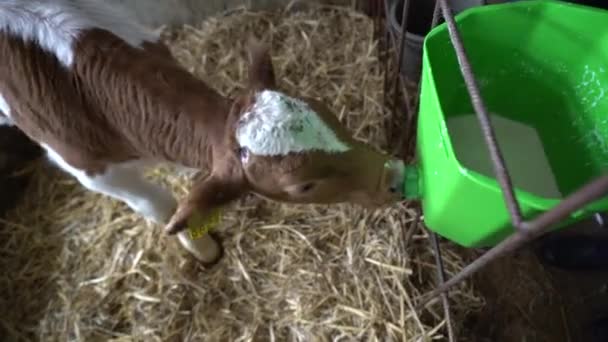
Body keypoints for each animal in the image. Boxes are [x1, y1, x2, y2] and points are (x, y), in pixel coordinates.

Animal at [1, 0, 408, 266]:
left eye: (328, 113)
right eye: (303, 187)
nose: (395, 176)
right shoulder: (90, 171)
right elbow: (159, 206)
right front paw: (204, 251)